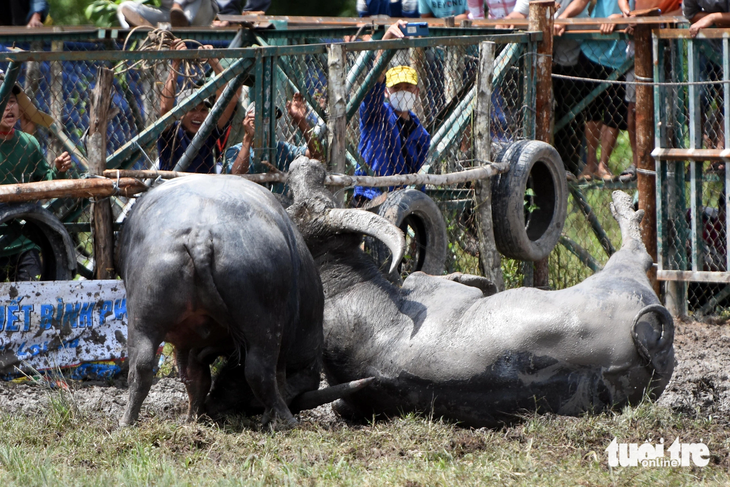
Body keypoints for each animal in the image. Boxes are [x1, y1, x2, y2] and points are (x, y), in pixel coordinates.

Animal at [284, 156, 672, 428]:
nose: (304, 163)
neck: (344, 287)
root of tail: (647, 344)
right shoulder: (425, 284)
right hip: (620, 274)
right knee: (637, 252)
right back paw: (622, 203)